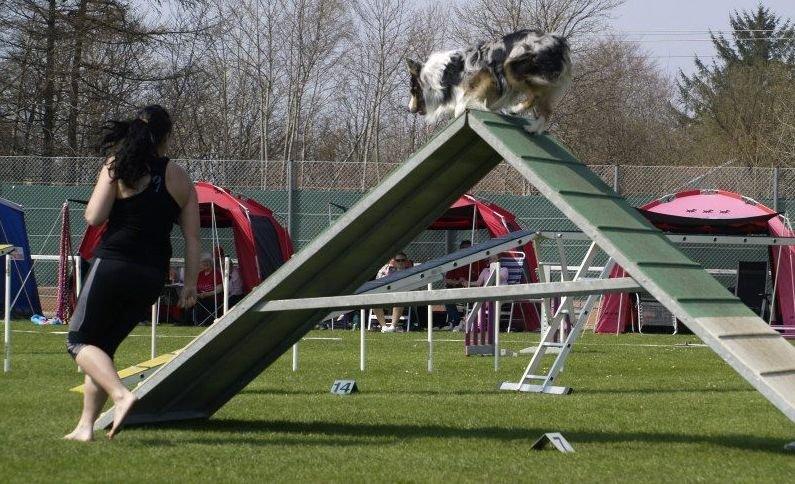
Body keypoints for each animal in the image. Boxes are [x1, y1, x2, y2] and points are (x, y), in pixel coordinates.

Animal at [408, 30, 568, 132]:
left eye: (413, 90)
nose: (410, 109)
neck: (443, 75)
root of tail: (559, 42)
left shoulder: (487, 79)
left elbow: (461, 106)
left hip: (512, 68)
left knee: (536, 96)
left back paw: (515, 109)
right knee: (547, 110)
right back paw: (532, 128)